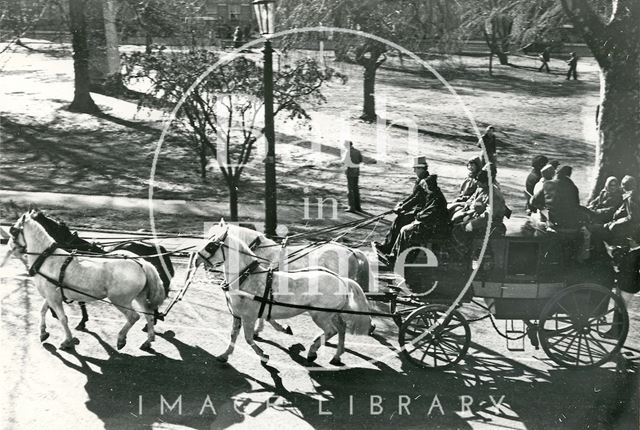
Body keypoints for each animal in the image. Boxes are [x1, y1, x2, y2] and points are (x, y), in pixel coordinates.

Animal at [5, 212, 165, 350]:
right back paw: (148, 340)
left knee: (134, 317)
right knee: (148, 314)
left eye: (13, 230)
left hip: (120, 299)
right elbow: (43, 310)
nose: (9, 248)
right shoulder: (51, 296)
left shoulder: (54, 298)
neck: (47, 258)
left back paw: (121, 338)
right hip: (140, 297)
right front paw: (43, 332)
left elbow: (63, 318)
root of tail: (139, 263)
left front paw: (68, 340)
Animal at [198, 222, 372, 366]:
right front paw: (225, 355)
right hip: (331, 313)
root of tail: (342, 280)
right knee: (341, 328)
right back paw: (336, 356)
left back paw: (313, 350)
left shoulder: (248, 316)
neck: (246, 277)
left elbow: (248, 338)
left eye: (211, 245)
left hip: (320, 315)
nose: (197, 259)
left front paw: (264, 355)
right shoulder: (238, 315)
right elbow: (234, 335)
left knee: (332, 331)